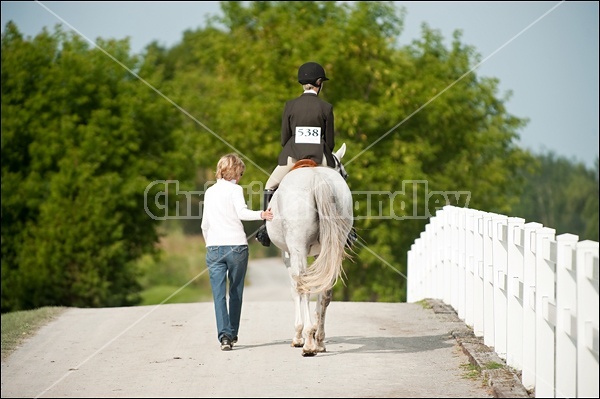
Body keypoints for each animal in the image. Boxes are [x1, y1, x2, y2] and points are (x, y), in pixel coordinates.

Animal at [264, 143, 354, 356]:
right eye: (345, 175)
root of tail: (317, 178)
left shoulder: (289, 255)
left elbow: (295, 290)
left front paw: (298, 336)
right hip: (332, 248)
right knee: (325, 292)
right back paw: (319, 341)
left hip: (298, 249)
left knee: (304, 288)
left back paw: (309, 343)